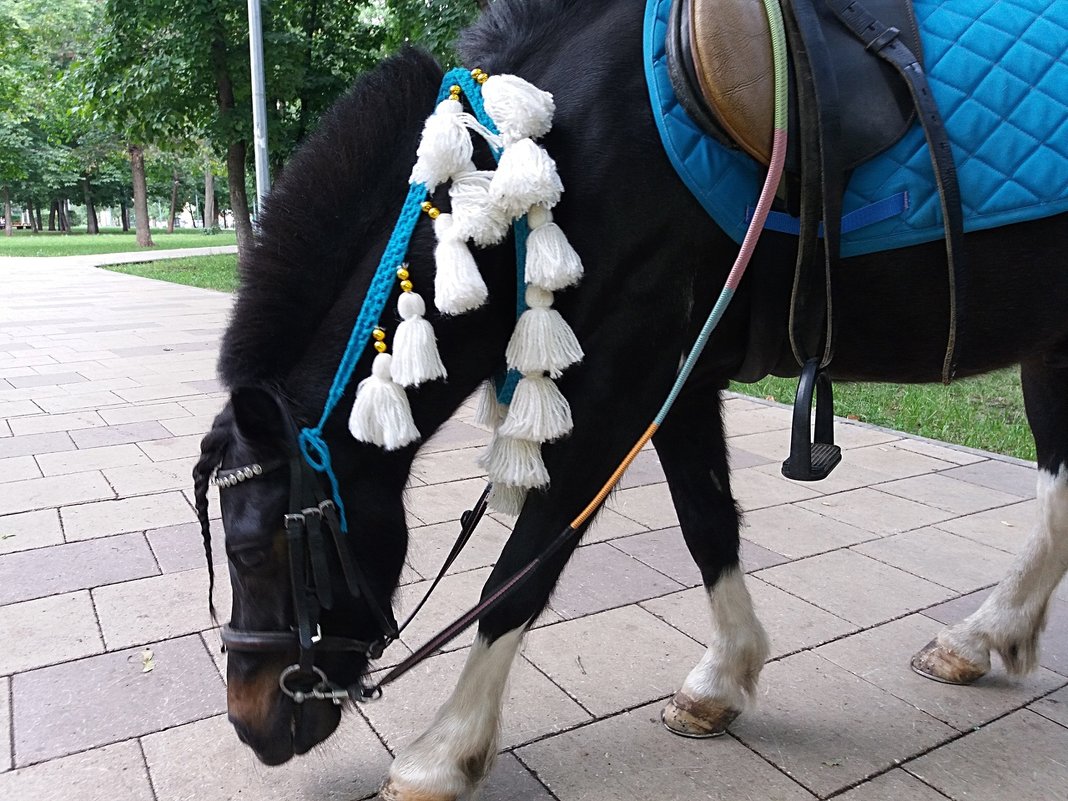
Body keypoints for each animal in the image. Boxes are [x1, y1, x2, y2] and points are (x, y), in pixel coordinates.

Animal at [192, 3, 1068, 798]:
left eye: (251, 549)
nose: (251, 723)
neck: (576, 143)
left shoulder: (617, 389)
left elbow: (522, 568)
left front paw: (445, 750)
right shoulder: (679, 381)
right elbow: (707, 523)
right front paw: (721, 679)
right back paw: (985, 638)